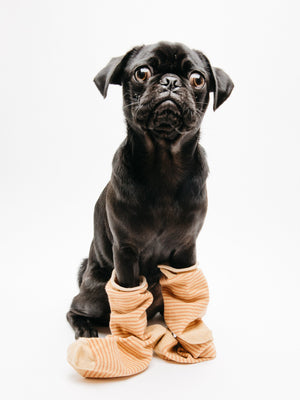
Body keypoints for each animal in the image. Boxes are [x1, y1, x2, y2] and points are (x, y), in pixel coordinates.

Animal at [67, 42, 233, 340]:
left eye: (198, 78)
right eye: (142, 73)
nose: (170, 81)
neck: (163, 166)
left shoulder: (186, 250)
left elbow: (184, 298)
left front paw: (187, 334)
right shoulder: (125, 251)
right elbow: (129, 295)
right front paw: (130, 340)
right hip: (96, 296)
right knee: (76, 308)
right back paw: (85, 327)